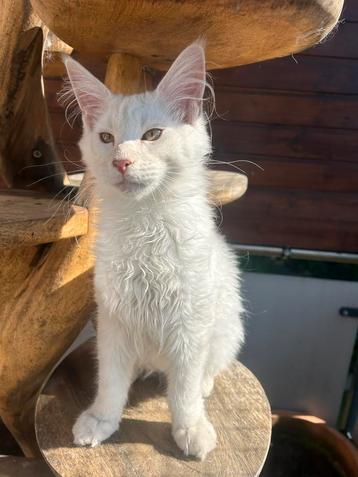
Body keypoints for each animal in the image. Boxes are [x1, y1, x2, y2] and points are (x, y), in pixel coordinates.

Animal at [64, 42, 245, 460]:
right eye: (106, 138)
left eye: (152, 135)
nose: (121, 161)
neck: (145, 224)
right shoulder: (113, 319)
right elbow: (111, 381)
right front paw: (101, 419)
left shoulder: (191, 324)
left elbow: (183, 389)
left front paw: (190, 427)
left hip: (227, 326)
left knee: (208, 368)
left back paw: (204, 385)